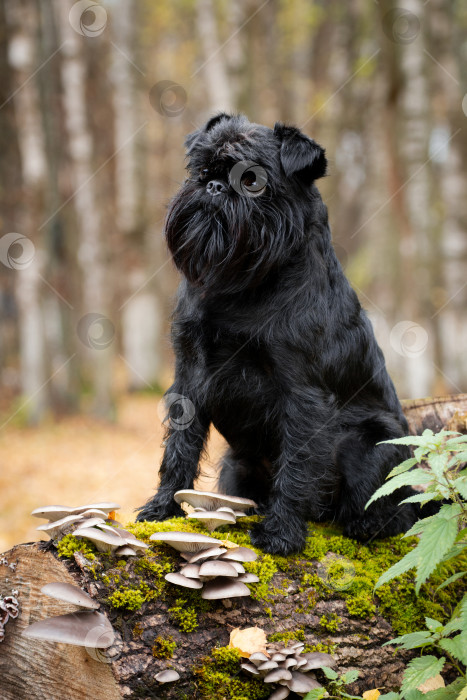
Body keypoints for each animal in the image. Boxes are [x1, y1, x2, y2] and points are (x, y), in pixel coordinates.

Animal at [138, 113, 420, 552]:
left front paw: (280, 533)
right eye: (201, 171)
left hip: (372, 443)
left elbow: (297, 464)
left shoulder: (303, 395)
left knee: (397, 510)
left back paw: (364, 524)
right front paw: (162, 507)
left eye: (253, 181)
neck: (242, 283)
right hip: (235, 465)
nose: (214, 186)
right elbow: (179, 449)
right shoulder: (189, 376)